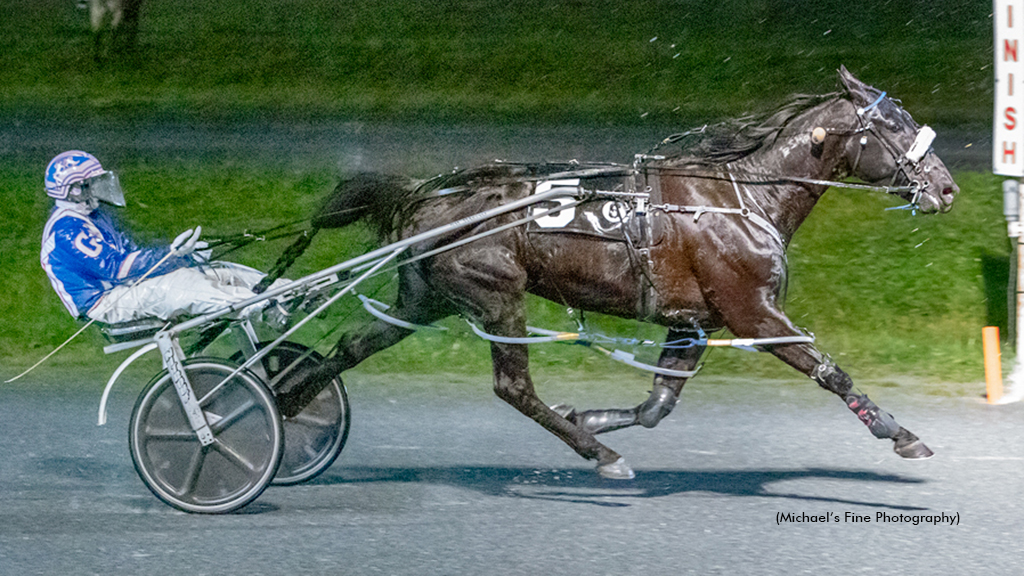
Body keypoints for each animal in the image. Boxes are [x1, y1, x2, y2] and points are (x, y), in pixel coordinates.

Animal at [274, 66, 958, 475]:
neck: (741, 195)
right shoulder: (753, 312)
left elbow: (659, 403)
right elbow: (829, 371)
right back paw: (600, 454)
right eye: (893, 125)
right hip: (496, 293)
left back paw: (284, 404)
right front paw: (900, 433)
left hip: (424, 296)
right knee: (513, 388)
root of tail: (427, 195)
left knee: (349, 346)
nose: (948, 189)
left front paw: (594, 416)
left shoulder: (693, 322)